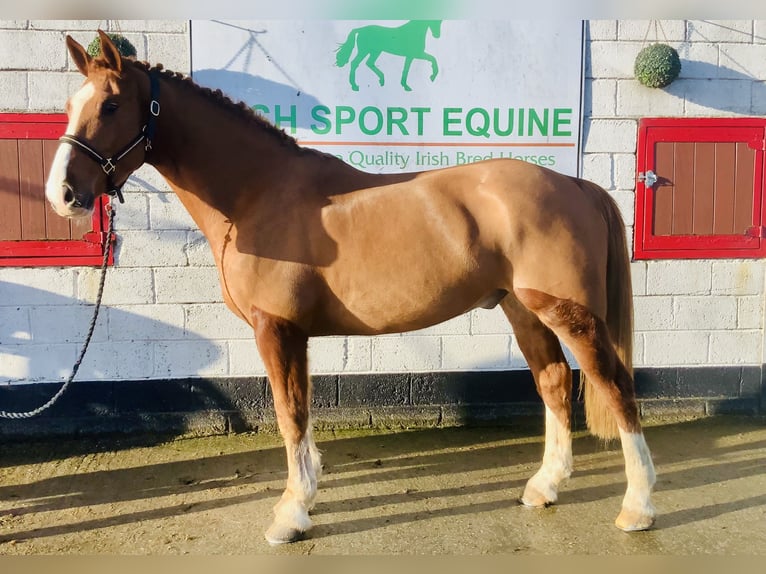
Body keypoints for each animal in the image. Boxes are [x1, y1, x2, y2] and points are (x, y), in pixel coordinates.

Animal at [45, 31, 656, 544]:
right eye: (72, 104)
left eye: (111, 105)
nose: (63, 194)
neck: (256, 193)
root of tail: (574, 183)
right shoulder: (292, 334)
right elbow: (299, 414)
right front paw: (304, 495)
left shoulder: (278, 330)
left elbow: (290, 414)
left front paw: (292, 514)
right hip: (523, 310)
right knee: (554, 382)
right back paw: (544, 487)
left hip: (568, 313)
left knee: (615, 385)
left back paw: (638, 507)